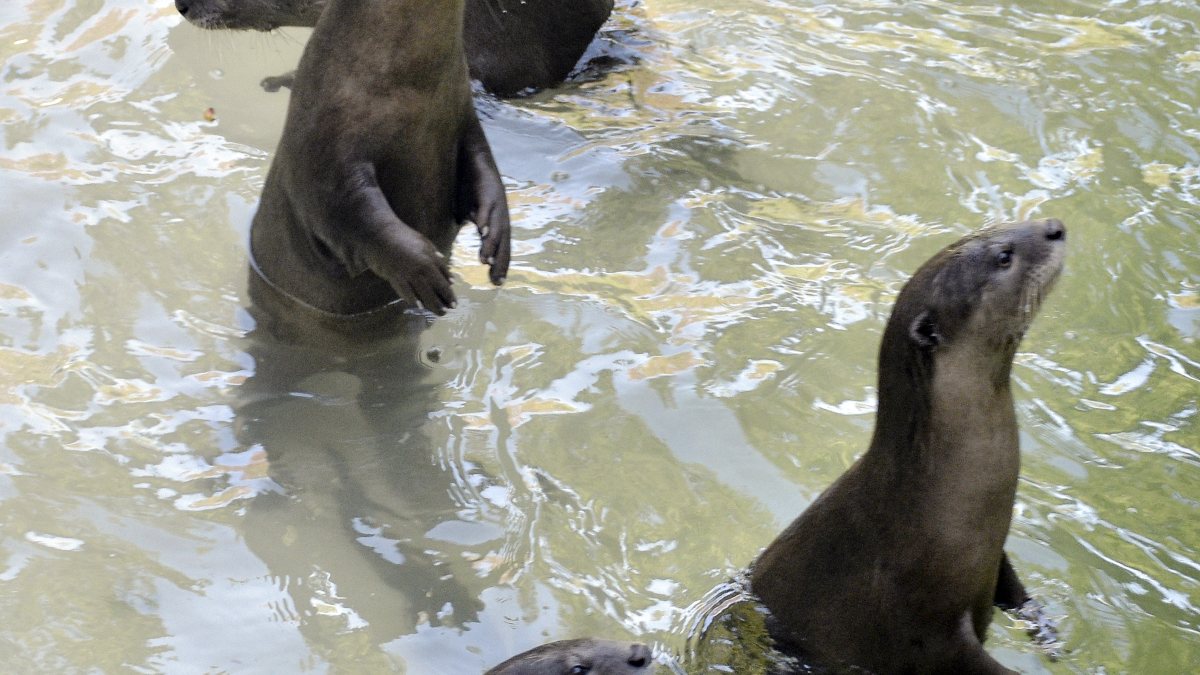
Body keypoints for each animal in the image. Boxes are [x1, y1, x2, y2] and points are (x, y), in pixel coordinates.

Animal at [249, 0, 510, 319]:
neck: (413, 91)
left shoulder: (465, 120)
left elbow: (486, 172)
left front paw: (498, 236)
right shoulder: (325, 153)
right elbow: (359, 217)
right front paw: (422, 269)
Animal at [750, 219, 1067, 674]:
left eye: (998, 225)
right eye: (1004, 256)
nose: (1055, 227)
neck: (928, 501)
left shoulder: (994, 558)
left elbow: (1016, 591)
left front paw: (1046, 631)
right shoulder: (930, 629)